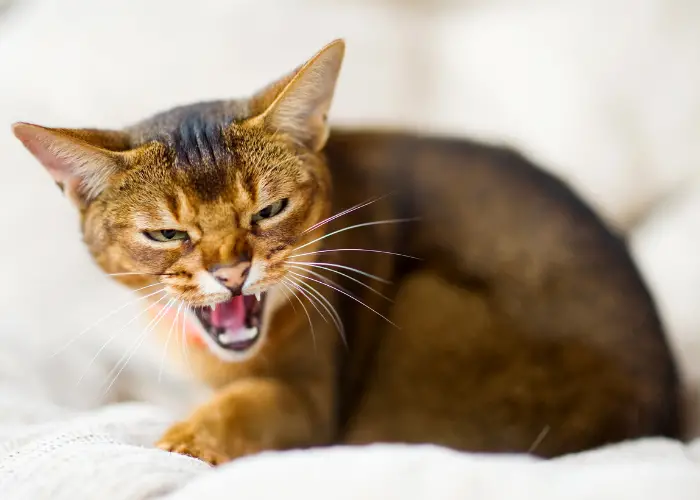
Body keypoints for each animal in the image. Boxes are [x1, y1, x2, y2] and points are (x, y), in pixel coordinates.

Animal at [10, 40, 680, 464]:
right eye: (167, 235)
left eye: (269, 210)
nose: (232, 271)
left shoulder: (310, 398)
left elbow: (248, 406)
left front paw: (185, 442)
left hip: (424, 306)